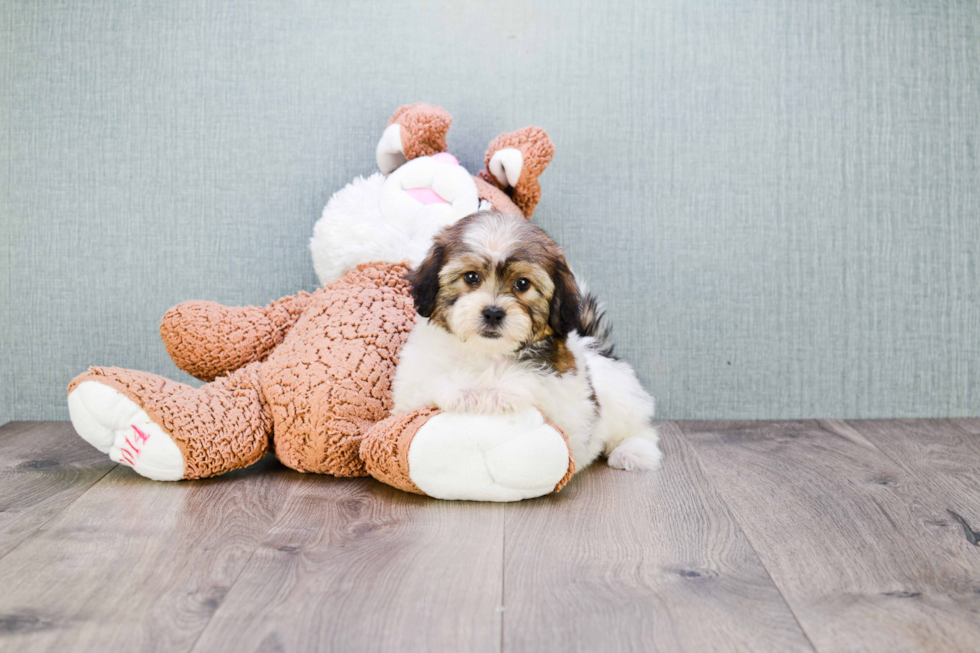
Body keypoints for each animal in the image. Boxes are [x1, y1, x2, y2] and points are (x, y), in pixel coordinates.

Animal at [388, 211, 660, 472]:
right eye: (471, 277)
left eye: (522, 284)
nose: (493, 312)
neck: (487, 352)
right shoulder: (411, 385)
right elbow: (431, 381)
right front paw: (469, 391)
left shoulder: (566, 389)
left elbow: (534, 380)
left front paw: (497, 390)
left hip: (622, 399)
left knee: (639, 428)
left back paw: (633, 451)